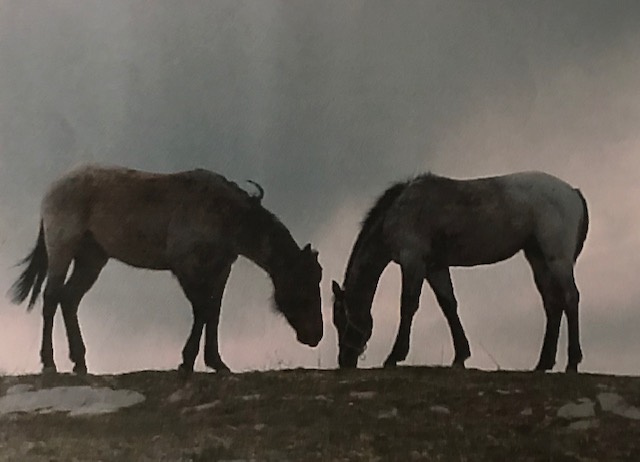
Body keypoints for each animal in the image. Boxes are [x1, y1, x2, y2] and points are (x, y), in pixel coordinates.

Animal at [10, 165, 323, 376]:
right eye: (304, 285)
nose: (316, 335)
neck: (224, 214)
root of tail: (53, 188)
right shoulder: (186, 267)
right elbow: (202, 310)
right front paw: (187, 361)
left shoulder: (221, 270)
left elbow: (213, 311)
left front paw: (216, 362)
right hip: (62, 250)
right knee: (51, 298)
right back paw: (49, 362)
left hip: (92, 259)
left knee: (69, 299)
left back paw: (80, 362)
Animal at [332, 171, 589, 373]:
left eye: (341, 319)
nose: (344, 361)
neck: (399, 211)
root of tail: (572, 192)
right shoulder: (434, 267)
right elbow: (449, 305)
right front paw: (460, 356)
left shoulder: (412, 261)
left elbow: (408, 306)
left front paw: (394, 356)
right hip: (538, 259)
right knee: (553, 304)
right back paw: (543, 363)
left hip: (557, 259)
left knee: (570, 298)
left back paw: (572, 362)